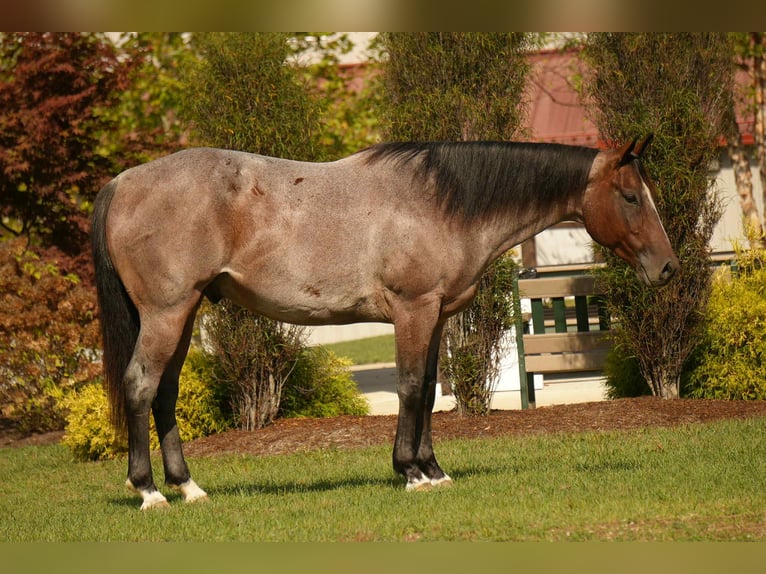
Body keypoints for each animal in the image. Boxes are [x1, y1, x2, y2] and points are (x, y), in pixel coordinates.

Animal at [91, 135, 678, 509]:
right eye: (631, 196)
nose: (667, 268)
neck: (440, 203)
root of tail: (123, 182)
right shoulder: (412, 309)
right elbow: (410, 387)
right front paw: (411, 473)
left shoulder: (435, 314)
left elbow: (430, 390)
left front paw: (435, 470)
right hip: (167, 313)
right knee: (141, 386)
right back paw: (148, 492)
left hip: (185, 313)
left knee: (165, 394)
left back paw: (188, 487)